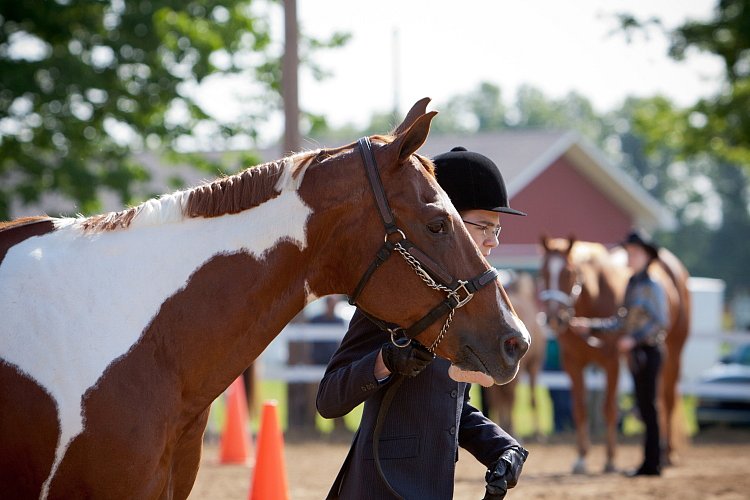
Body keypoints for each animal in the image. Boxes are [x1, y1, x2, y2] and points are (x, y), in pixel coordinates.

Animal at [540, 236, 692, 474]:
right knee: (657, 402)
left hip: (674, 353)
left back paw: (668, 455)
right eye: (542, 272)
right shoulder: (572, 364)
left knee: (667, 401)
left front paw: (610, 459)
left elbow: (610, 408)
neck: (592, 299)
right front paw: (581, 458)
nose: (555, 319)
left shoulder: (611, 362)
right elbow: (580, 408)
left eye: (568, 271)